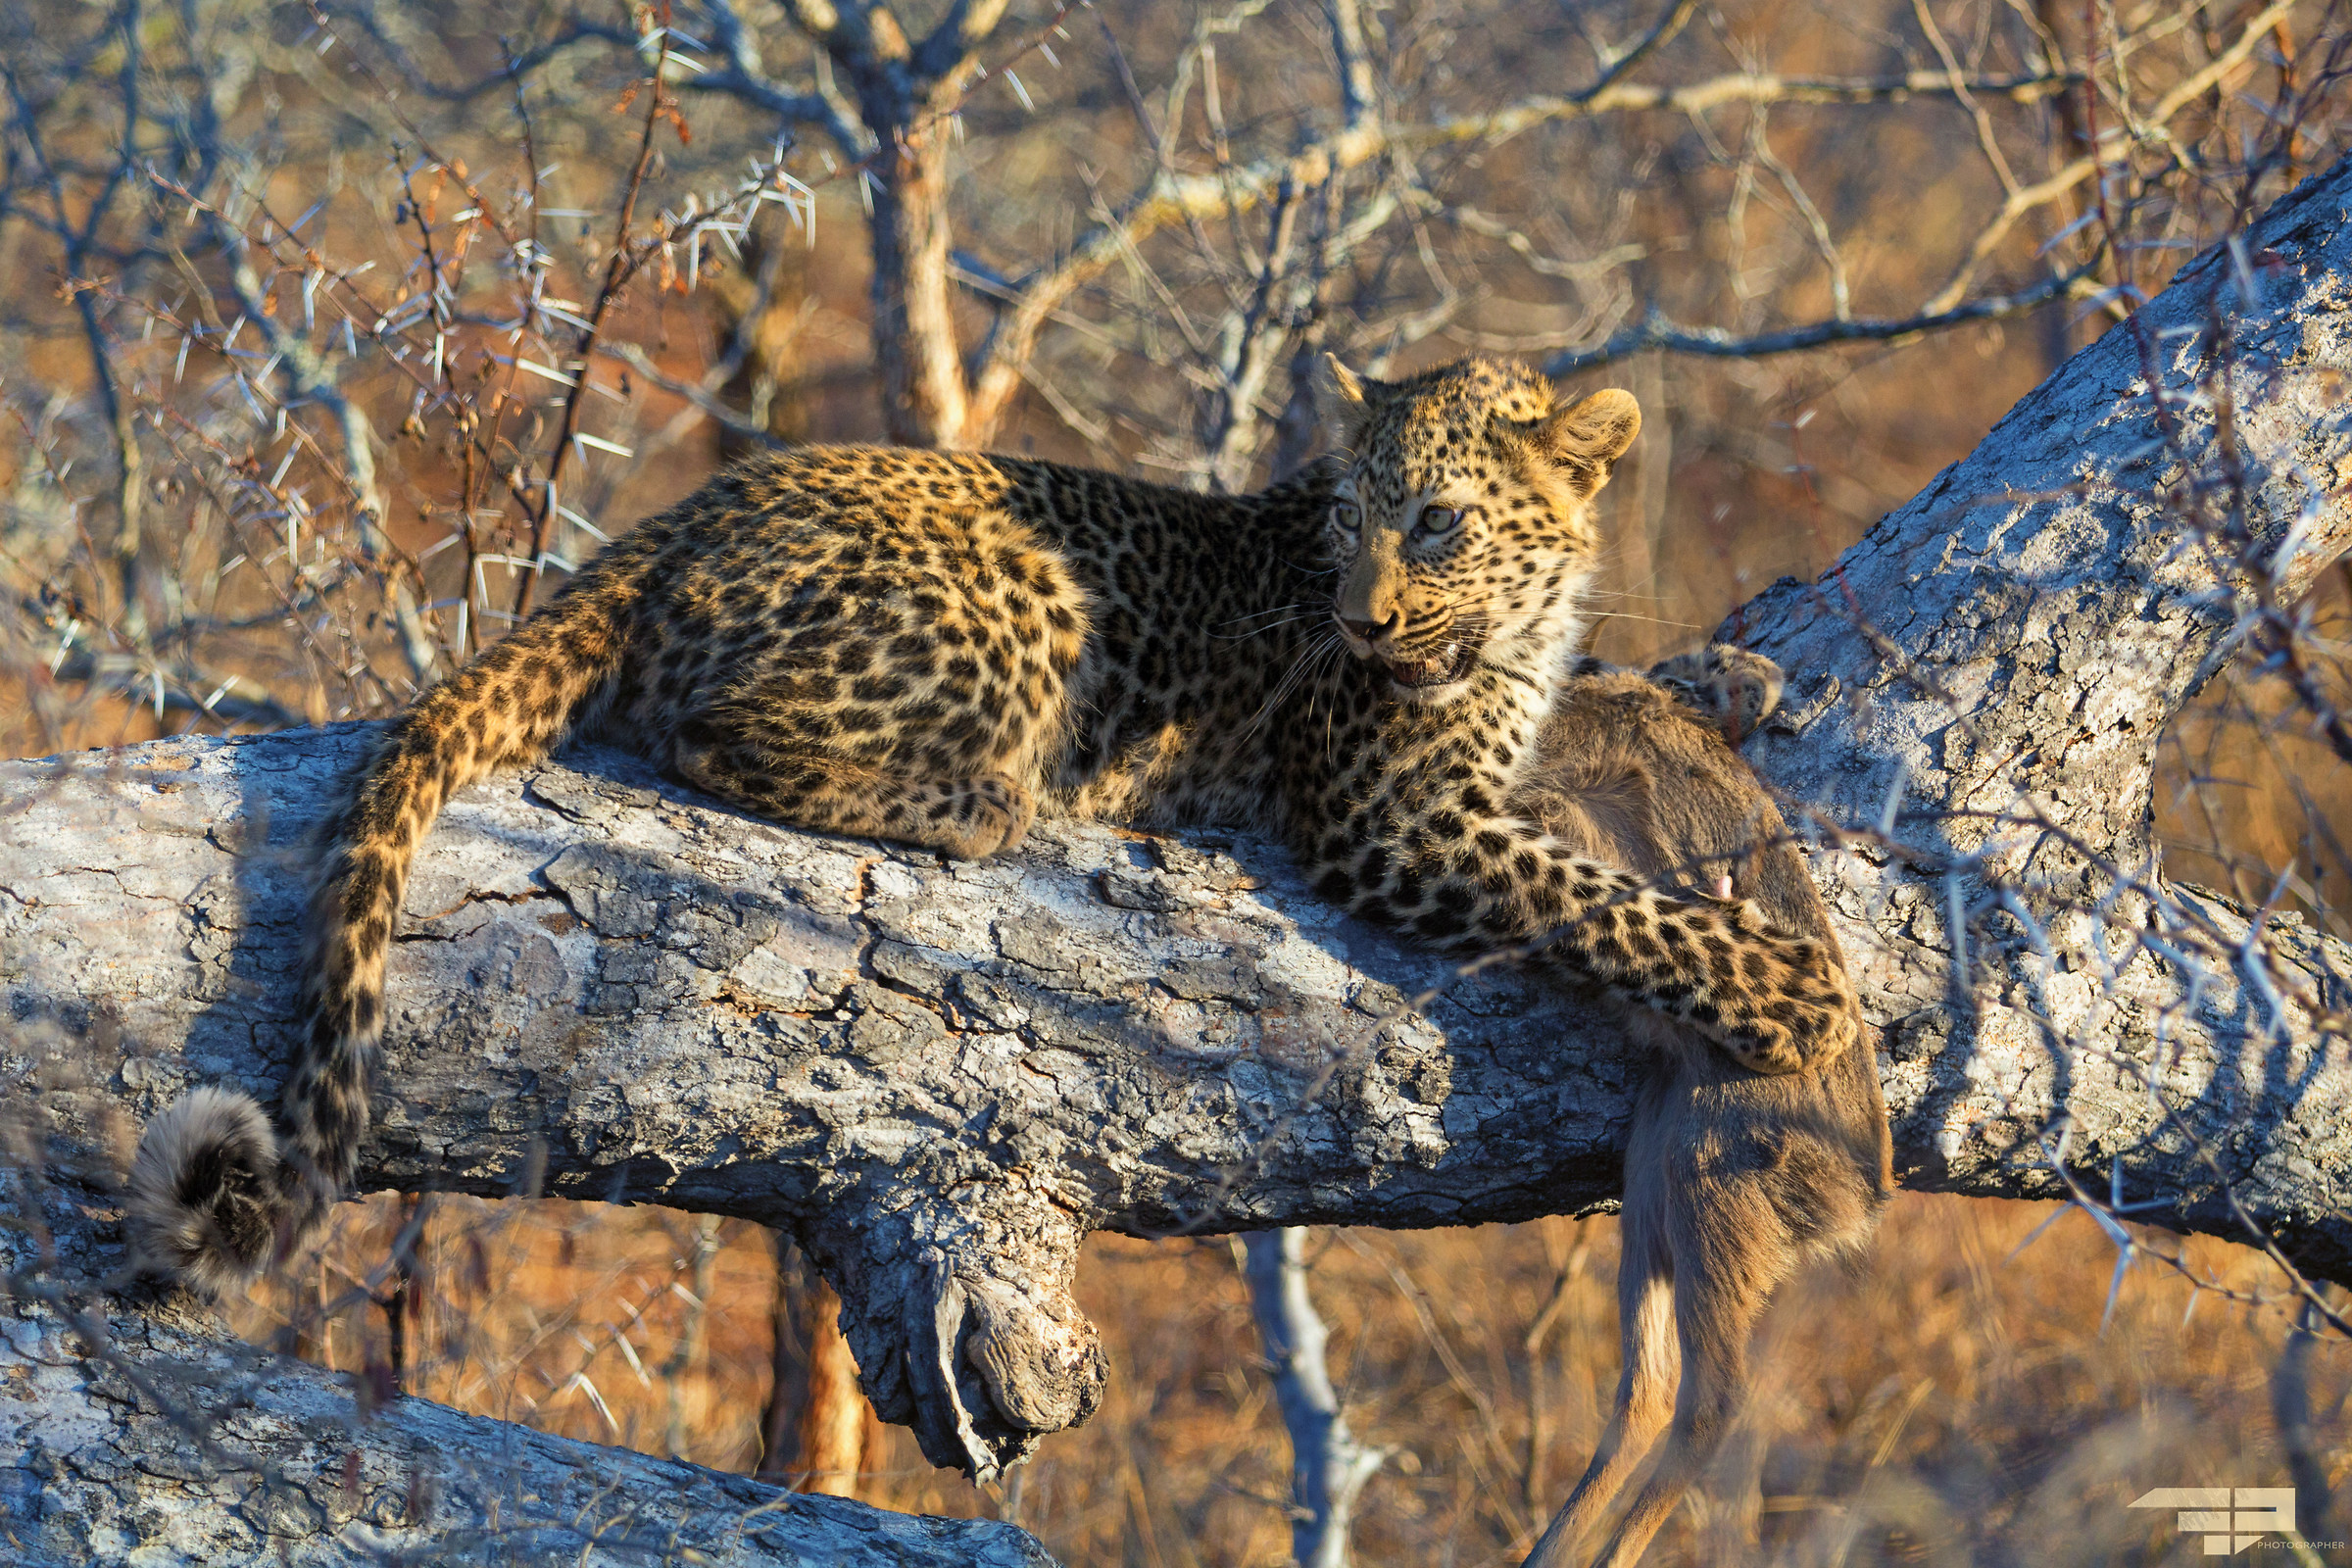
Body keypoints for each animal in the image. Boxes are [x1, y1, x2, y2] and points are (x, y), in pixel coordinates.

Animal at [128, 353, 1861, 1304]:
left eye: (1431, 520)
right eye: (1348, 519)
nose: (1362, 617)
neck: (1512, 618)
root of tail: (679, 518)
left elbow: (1605, 696)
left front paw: (1726, 672)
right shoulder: (1391, 815)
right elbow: (1599, 900)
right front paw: (1794, 993)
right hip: (1023, 599)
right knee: (715, 730)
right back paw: (993, 806)